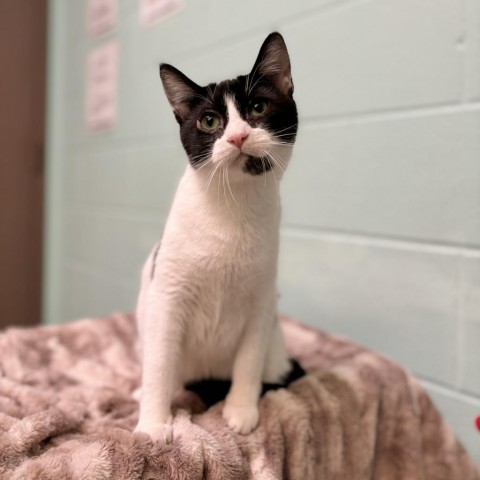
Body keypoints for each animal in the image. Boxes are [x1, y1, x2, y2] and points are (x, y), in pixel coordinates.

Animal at [135, 31, 298, 442]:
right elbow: (159, 363)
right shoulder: (168, 295)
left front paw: (240, 410)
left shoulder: (261, 301)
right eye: (210, 121)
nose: (238, 136)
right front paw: (153, 423)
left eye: (258, 107)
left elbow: (248, 360)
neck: (232, 209)